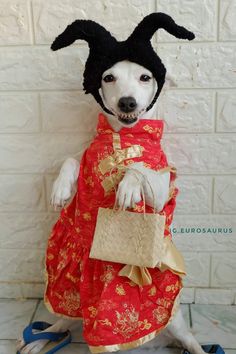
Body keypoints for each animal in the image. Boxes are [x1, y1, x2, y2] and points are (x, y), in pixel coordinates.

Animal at [17, 60, 205, 354]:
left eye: (145, 77)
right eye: (109, 78)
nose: (127, 102)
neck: (123, 135)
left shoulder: (162, 190)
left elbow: (140, 168)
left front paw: (128, 184)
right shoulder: (86, 158)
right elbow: (72, 159)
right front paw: (61, 187)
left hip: (174, 323)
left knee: (188, 338)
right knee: (64, 322)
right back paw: (39, 339)